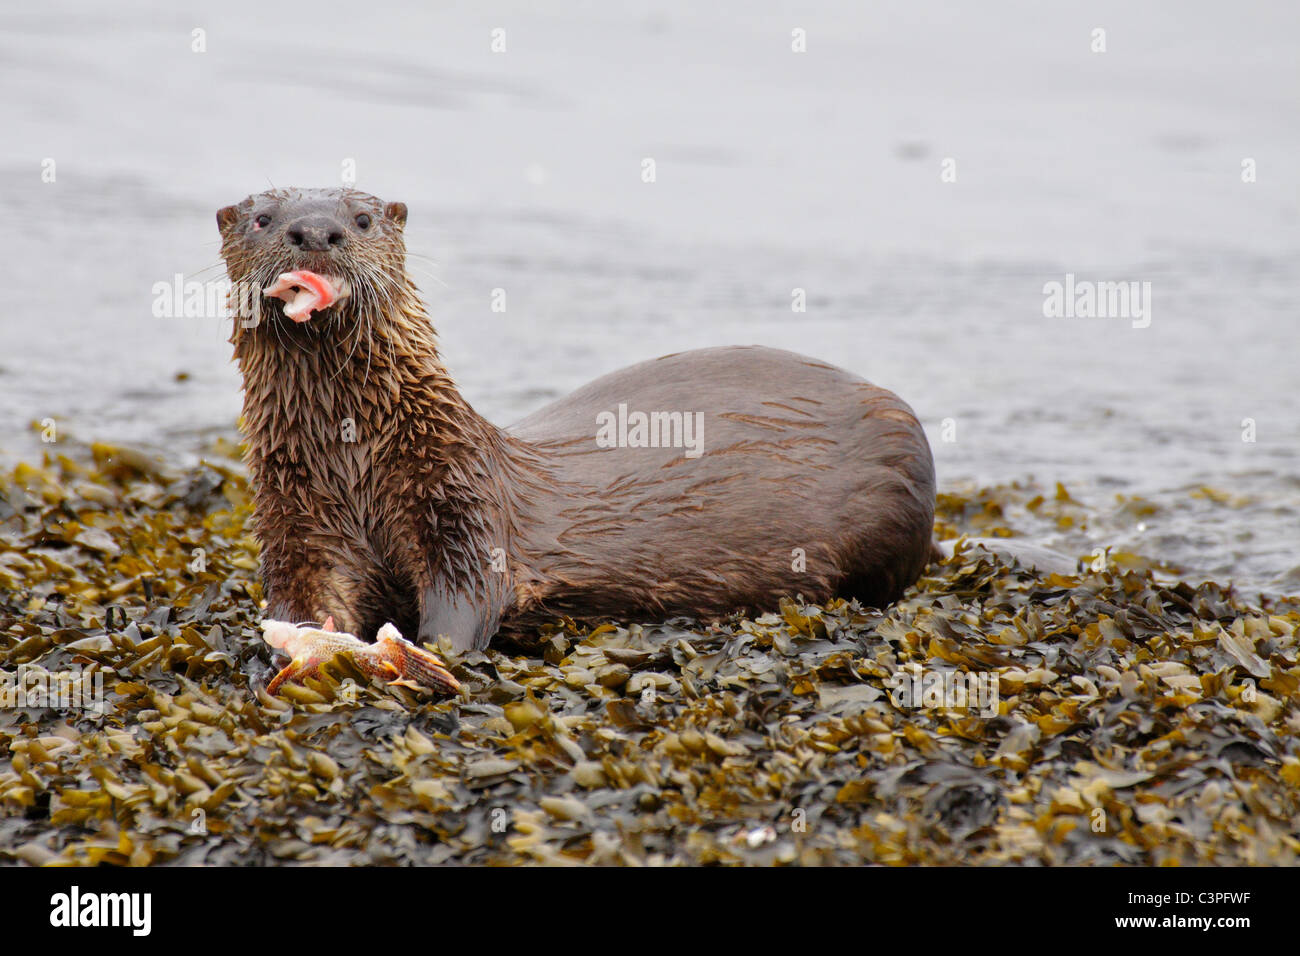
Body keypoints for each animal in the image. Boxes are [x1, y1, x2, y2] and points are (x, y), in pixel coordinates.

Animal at [218, 185, 941, 650]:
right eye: (263, 218)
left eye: (364, 218)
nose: (316, 231)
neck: (356, 458)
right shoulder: (295, 518)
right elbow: (303, 597)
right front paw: (305, 644)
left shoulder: (462, 502)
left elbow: (467, 598)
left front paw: (420, 653)